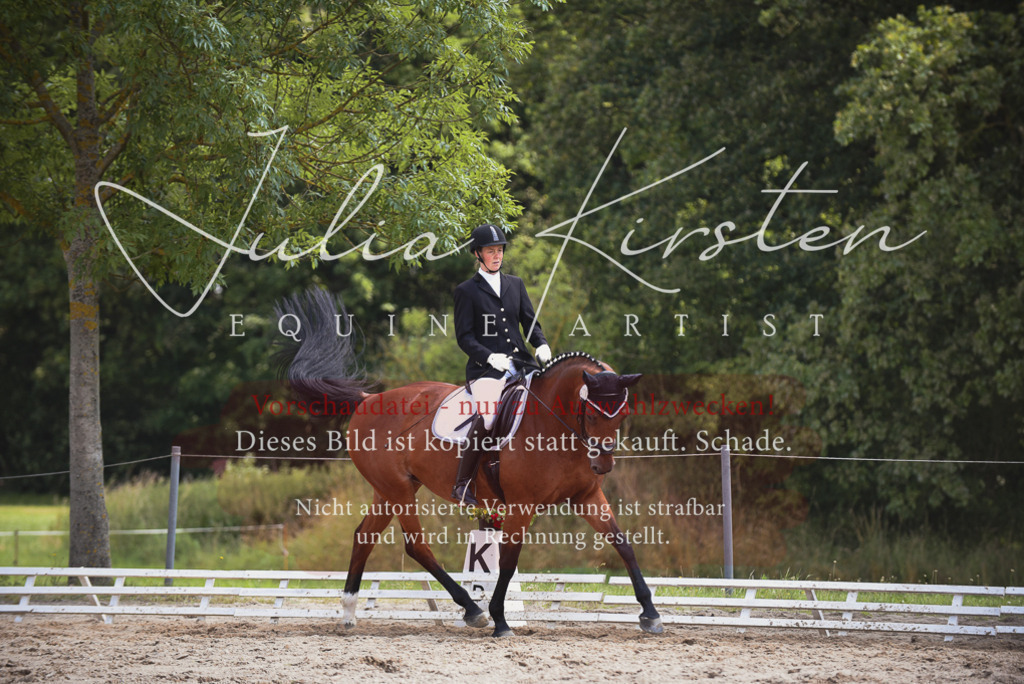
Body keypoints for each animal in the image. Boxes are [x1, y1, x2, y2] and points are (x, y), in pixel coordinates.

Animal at [274, 288, 663, 637]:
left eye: (622, 413)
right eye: (591, 414)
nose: (603, 465)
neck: (554, 425)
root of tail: (368, 400)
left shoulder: (585, 497)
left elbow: (623, 543)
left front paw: (650, 613)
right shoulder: (521, 504)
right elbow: (507, 561)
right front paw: (501, 620)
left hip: (388, 490)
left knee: (364, 537)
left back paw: (349, 613)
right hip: (398, 490)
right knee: (416, 545)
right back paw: (472, 610)